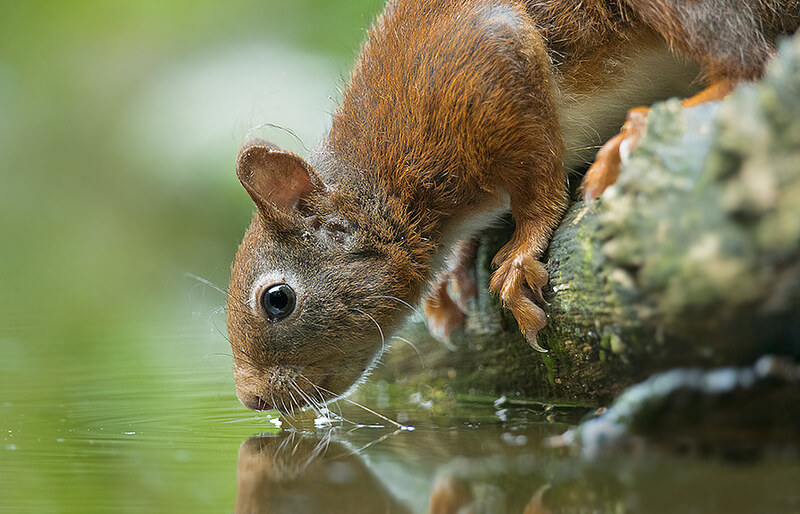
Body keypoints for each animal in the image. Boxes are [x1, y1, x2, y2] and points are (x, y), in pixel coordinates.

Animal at [226, 0, 799, 411]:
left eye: (277, 300)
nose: (253, 400)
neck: (386, 183)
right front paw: (456, 269)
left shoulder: (486, 65)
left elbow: (539, 177)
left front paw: (522, 250)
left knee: (750, 63)